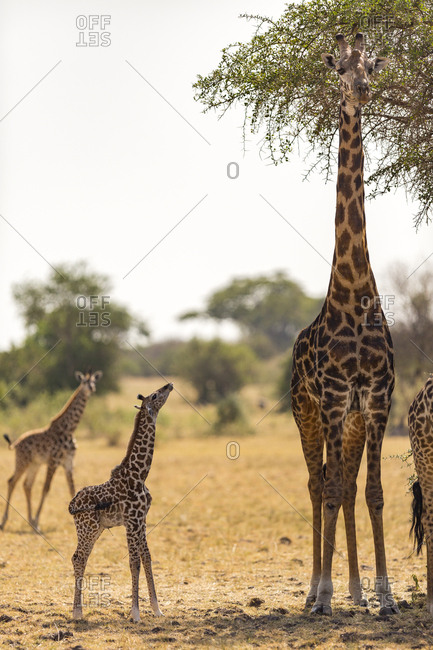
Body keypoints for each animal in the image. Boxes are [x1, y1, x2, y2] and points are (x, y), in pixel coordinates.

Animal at [0, 370, 102, 531]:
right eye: (84, 382)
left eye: (94, 381)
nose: (92, 388)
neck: (69, 429)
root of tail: (16, 443)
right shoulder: (53, 460)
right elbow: (46, 488)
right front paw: (37, 520)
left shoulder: (68, 461)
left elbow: (72, 489)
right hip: (23, 462)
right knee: (12, 482)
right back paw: (5, 522)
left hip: (34, 464)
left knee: (27, 485)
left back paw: (30, 520)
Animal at [69, 382, 173, 622]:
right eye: (156, 395)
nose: (169, 385)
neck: (140, 474)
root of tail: (72, 504)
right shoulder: (132, 521)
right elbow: (134, 563)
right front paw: (135, 614)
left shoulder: (141, 520)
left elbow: (147, 558)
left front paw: (157, 609)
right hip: (88, 529)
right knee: (78, 558)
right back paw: (77, 612)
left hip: (96, 529)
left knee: (78, 557)